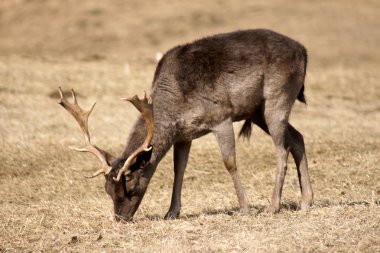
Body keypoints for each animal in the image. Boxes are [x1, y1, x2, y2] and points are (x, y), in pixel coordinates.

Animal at [58, 28, 314, 221]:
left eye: (131, 186)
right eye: (107, 190)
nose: (120, 218)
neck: (176, 104)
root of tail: (304, 51)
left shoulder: (221, 116)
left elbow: (230, 163)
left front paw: (245, 208)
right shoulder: (184, 134)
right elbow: (178, 169)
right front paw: (171, 212)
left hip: (278, 97)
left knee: (282, 148)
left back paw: (274, 205)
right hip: (257, 110)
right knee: (298, 137)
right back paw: (306, 201)